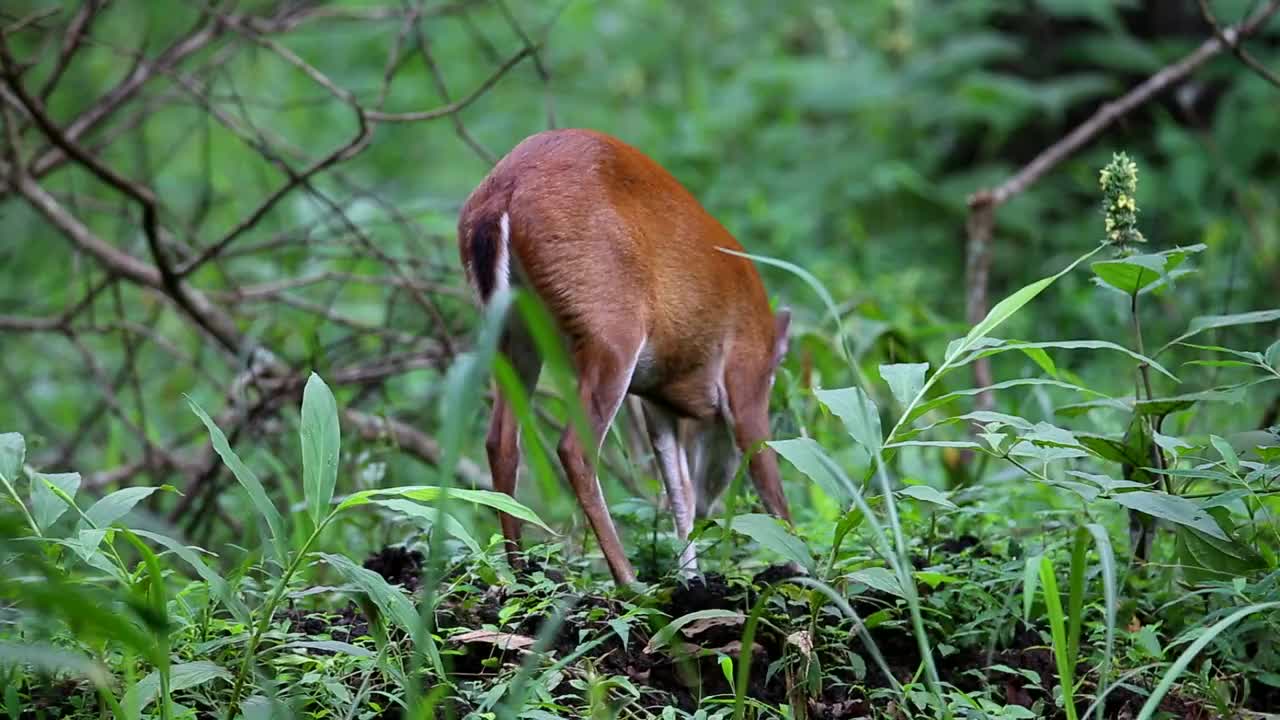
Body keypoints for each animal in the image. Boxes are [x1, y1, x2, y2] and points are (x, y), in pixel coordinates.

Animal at [455, 128, 783, 584]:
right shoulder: (744, 374)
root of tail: (503, 192)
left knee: (500, 440)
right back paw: (628, 579)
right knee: (574, 449)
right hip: (612, 330)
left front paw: (690, 577)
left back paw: (520, 574)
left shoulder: (654, 397)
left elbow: (677, 488)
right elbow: (770, 479)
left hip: (511, 332)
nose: (711, 504)